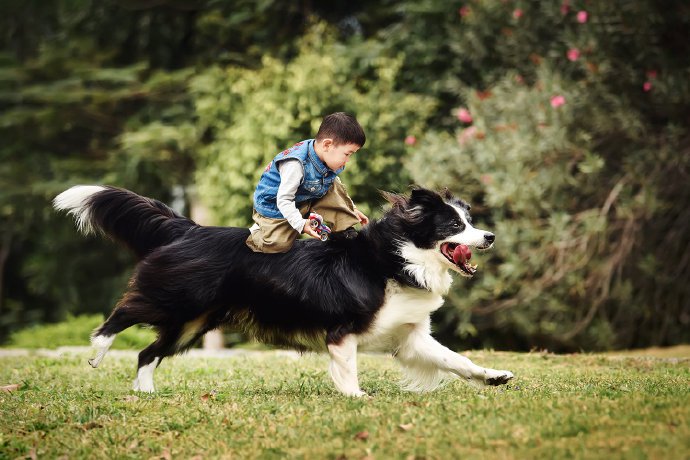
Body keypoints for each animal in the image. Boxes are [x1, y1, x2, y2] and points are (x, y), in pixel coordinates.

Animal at [53, 186, 510, 396]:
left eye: (470, 222)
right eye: (454, 225)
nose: (489, 236)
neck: (397, 259)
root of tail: (190, 228)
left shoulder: (408, 336)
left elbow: (456, 360)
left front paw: (493, 376)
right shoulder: (341, 331)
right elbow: (347, 368)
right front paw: (357, 398)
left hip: (192, 323)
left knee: (148, 352)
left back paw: (145, 392)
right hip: (177, 297)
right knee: (125, 311)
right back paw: (98, 347)